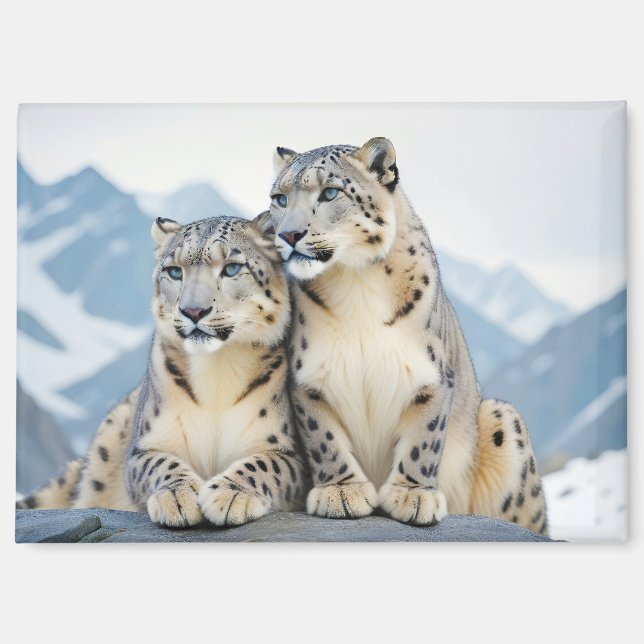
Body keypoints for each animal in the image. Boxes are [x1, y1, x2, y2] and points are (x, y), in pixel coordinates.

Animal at [18, 213, 307, 528]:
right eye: (174, 271)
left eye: (232, 268)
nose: (193, 311)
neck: (216, 370)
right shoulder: (146, 443)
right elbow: (160, 463)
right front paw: (180, 498)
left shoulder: (286, 448)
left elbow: (264, 464)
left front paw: (229, 495)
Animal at [268, 137, 548, 535]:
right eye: (279, 198)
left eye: (330, 192)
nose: (288, 234)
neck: (355, 284)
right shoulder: (307, 378)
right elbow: (323, 437)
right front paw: (342, 492)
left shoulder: (430, 375)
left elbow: (423, 439)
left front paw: (412, 497)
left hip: (503, 420)